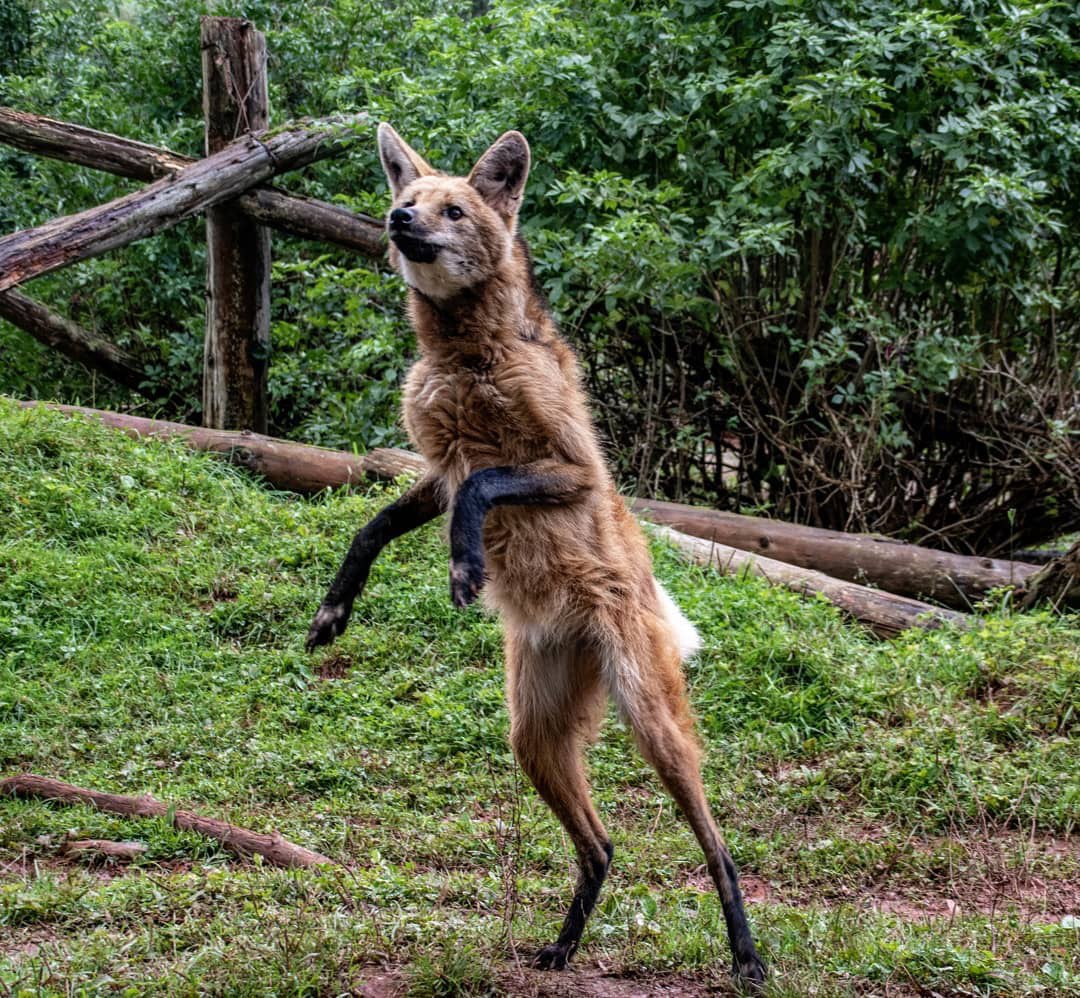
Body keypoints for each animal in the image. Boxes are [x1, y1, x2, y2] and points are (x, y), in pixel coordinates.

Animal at [306, 123, 766, 989]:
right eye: (409, 199)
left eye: (452, 210)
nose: (396, 219)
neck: (465, 355)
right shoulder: (438, 467)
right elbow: (374, 526)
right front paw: (334, 608)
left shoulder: (570, 468)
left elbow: (485, 486)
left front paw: (464, 569)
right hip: (532, 731)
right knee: (602, 843)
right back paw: (563, 945)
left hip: (649, 716)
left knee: (716, 840)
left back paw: (747, 955)